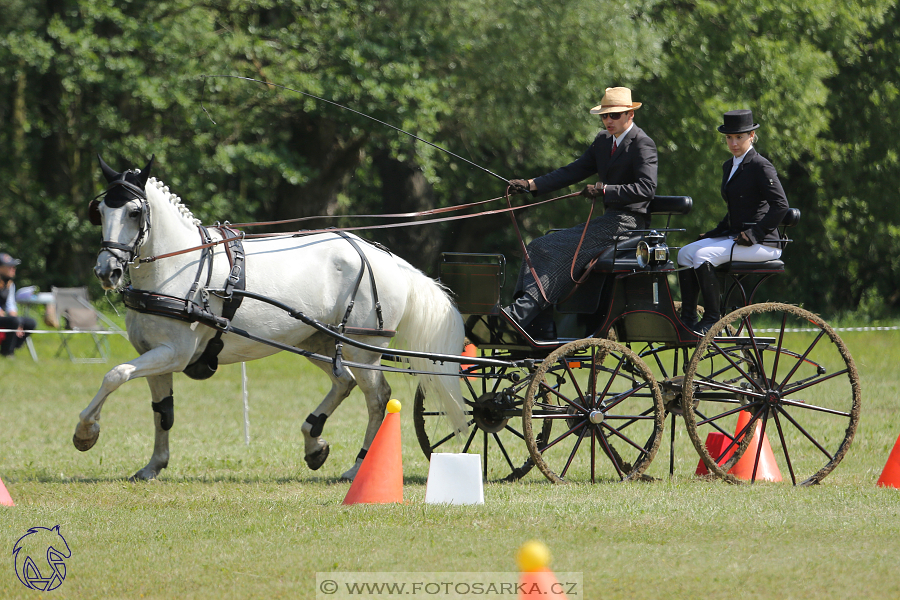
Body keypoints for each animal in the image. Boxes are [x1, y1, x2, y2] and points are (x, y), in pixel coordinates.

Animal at [78, 157, 468, 480]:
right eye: (100, 211)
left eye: (133, 212)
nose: (107, 271)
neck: (178, 266)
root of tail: (390, 260)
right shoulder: (154, 354)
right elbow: (163, 411)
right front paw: (154, 465)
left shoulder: (173, 353)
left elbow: (114, 375)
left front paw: (85, 432)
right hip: (319, 340)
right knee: (343, 382)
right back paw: (314, 442)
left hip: (363, 348)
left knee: (378, 398)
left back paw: (359, 466)